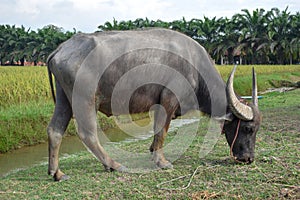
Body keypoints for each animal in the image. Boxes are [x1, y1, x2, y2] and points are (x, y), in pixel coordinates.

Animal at [46, 28, 260, 181]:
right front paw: (162, 162)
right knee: (88, 134)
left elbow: (157, 131)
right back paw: (114, 165)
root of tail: (59, 49)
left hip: (65, 99)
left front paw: (152, 151)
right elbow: (162, 131)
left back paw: (57, 173)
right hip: (85, 100)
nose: (248, 159)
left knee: (55, 130)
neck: (195, 66)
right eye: (248, 129)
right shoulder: (168, 99)